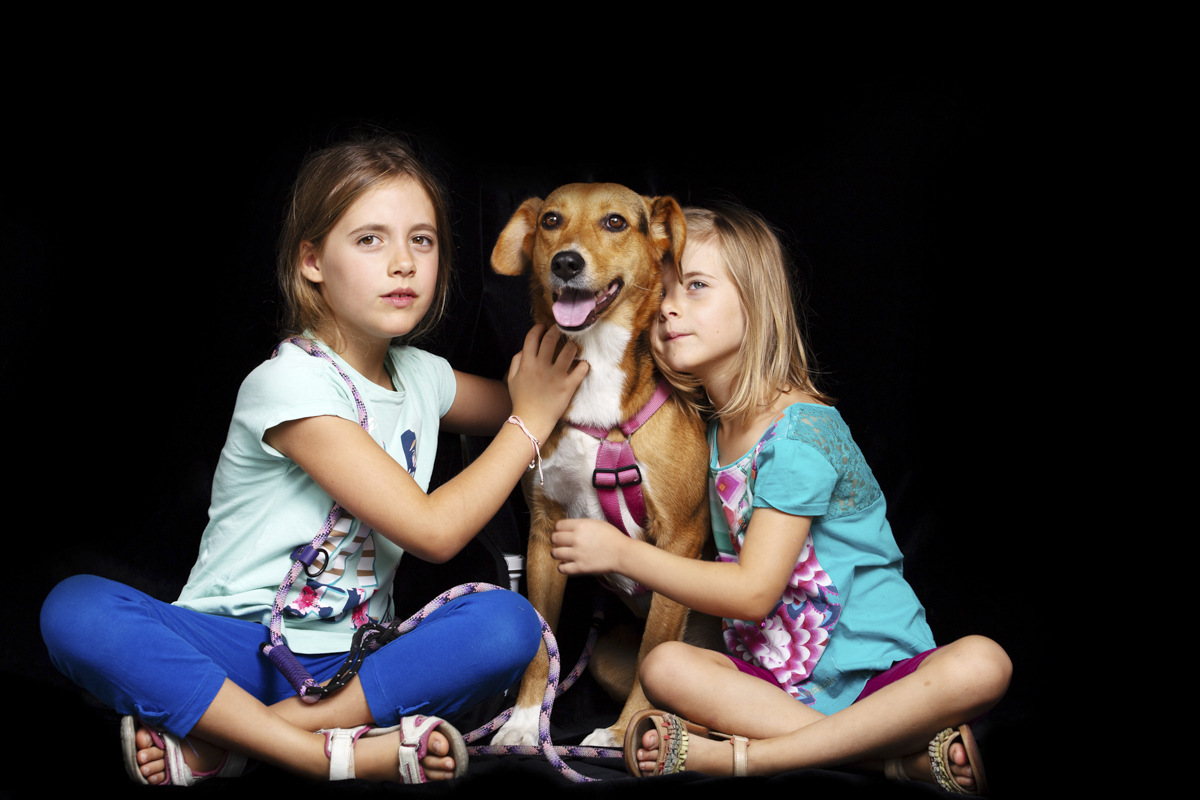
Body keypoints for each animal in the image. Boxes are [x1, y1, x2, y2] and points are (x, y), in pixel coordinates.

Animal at [489, 183, 711, 748]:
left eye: (615, 222)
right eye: (551, 220)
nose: (566, 263)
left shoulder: (680, 537)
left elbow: (657, 648)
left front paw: (625, 732)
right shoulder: (546, 532)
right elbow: (541, 644)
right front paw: (524, 723)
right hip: (608, 655)